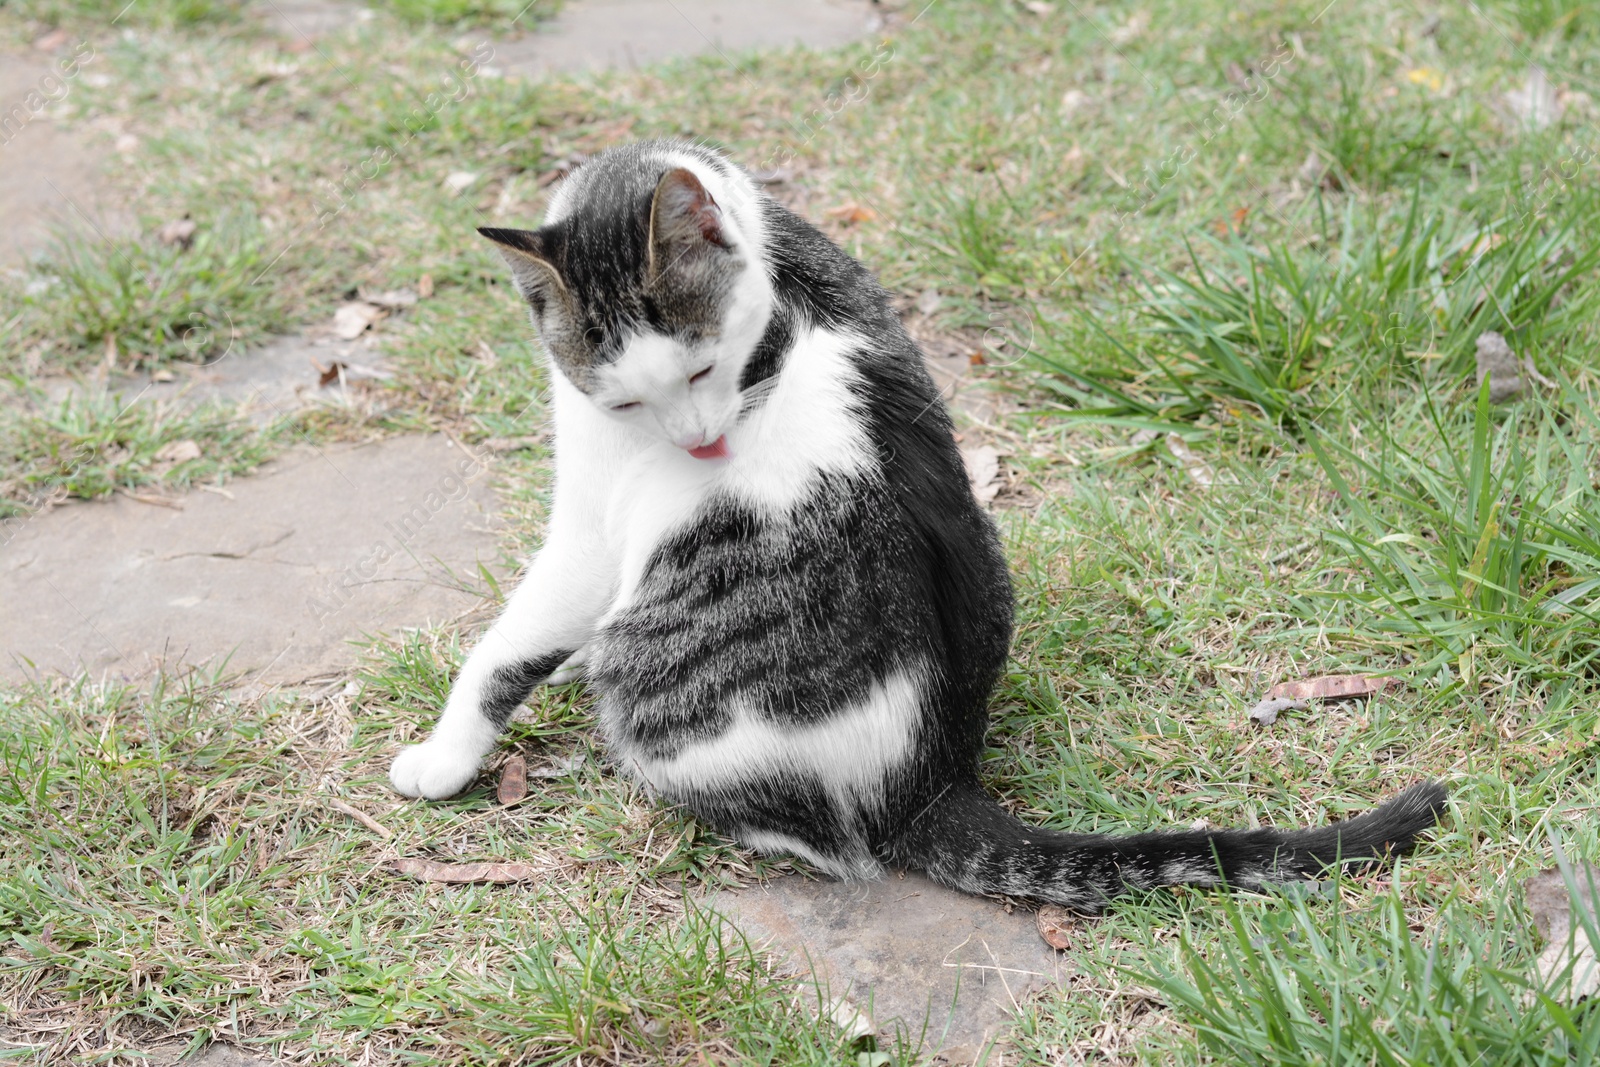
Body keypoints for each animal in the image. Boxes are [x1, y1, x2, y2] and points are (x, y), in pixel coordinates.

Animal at [390, 137, 1452, 915]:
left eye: (699, 371)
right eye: (624, 398)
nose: (699, 445)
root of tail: (932, 775)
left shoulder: (592, 525)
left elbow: (503, 648)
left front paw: (443, 758)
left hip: (670, 715)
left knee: (828, 840)